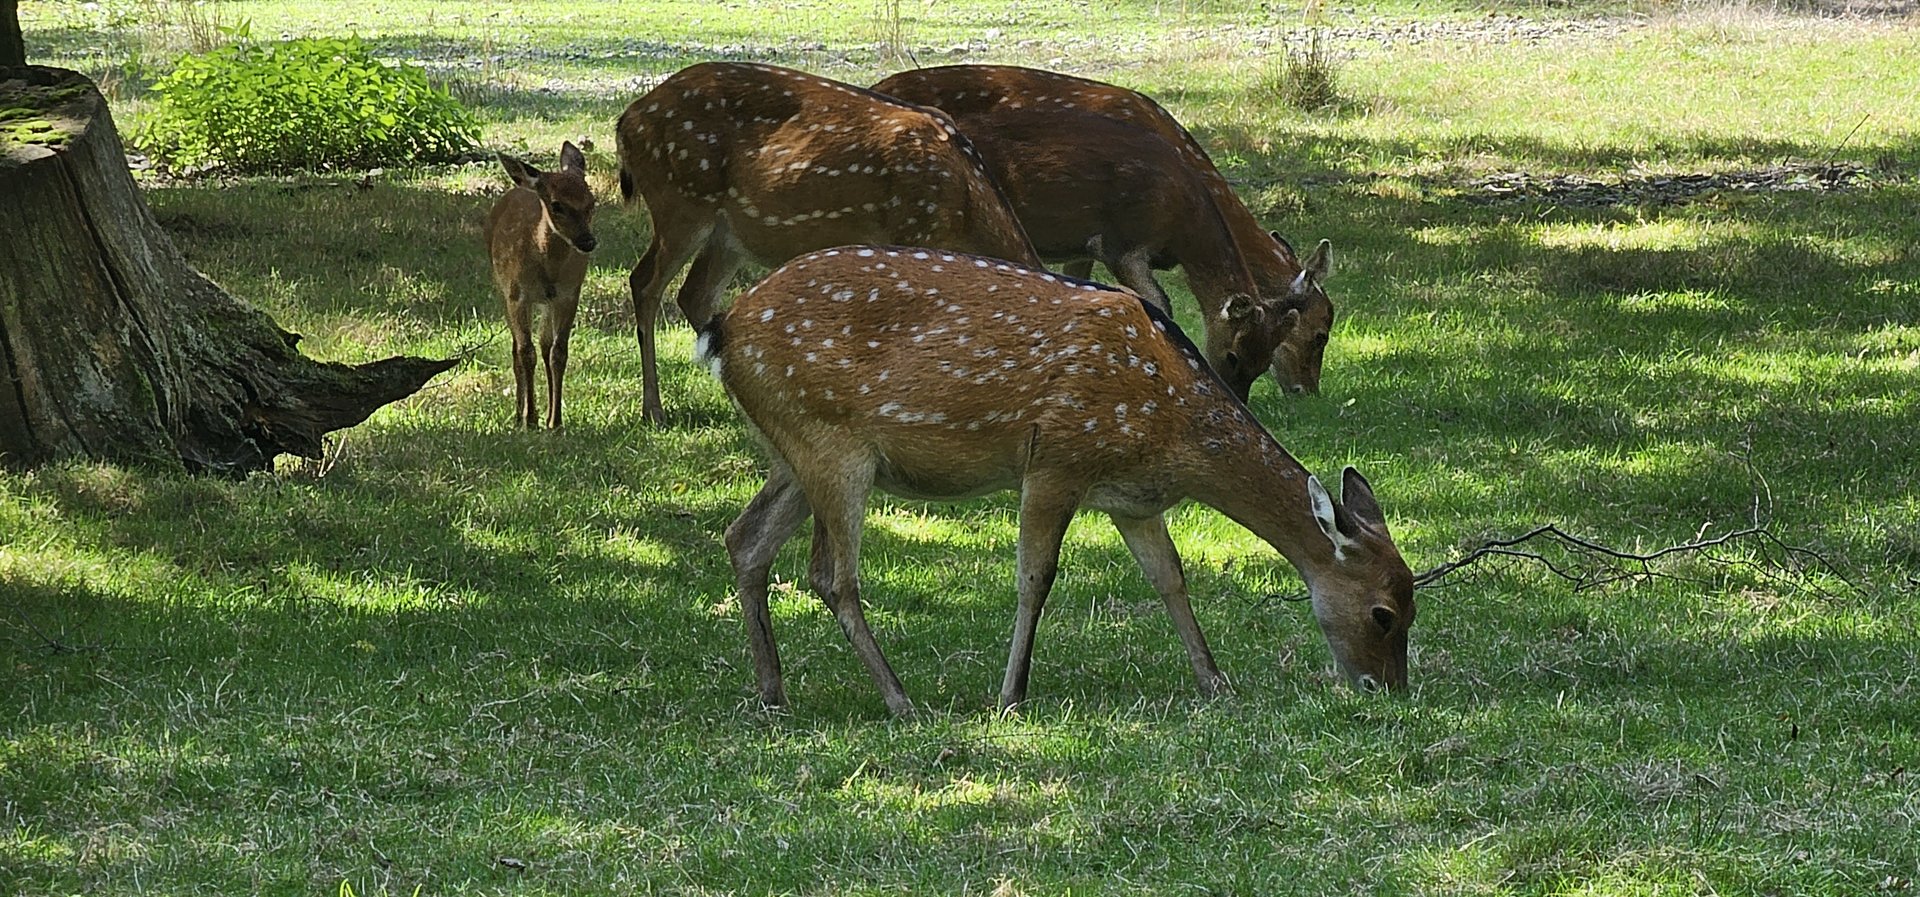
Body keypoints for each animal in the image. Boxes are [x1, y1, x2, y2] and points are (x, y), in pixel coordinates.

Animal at [487, 141, 597, 430]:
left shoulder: (569, 294)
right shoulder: (517, 295)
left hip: (547, 303)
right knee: (517, 348)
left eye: (592, 201)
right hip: (501, 287)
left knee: (545, 344)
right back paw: (518, 416)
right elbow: (526, 353)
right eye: (557, 205)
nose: (588, 241)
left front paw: (555, 421)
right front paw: (530, 419)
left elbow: (558, 352)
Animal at [615, 61, 1042, 424]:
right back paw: (654, 410)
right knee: (645, 282)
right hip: (682, 201)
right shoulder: (910, 233)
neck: (967, 206)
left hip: (728, 234)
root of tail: (626, 122)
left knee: (694, 293)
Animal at [697, 245, 1414, 717]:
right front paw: (1011, 696)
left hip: (792, 449)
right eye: (1383, 613)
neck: (1171, 427)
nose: (1391, 689)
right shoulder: (1058, 458)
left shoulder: (1133, 499)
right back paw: (900, 698)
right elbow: (1035, 576)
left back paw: (772, 691)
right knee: (829, 573)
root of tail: (720, 331)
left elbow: (1170, 577)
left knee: (745, 539)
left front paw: (1216, 682)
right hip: (833, 443)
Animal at [873, 64, 1336, 394]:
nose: (1306, 391)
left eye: (1269, 357)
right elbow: (1158, 303)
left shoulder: (1080, 244)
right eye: (1320, 334)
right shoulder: (1117, 243)